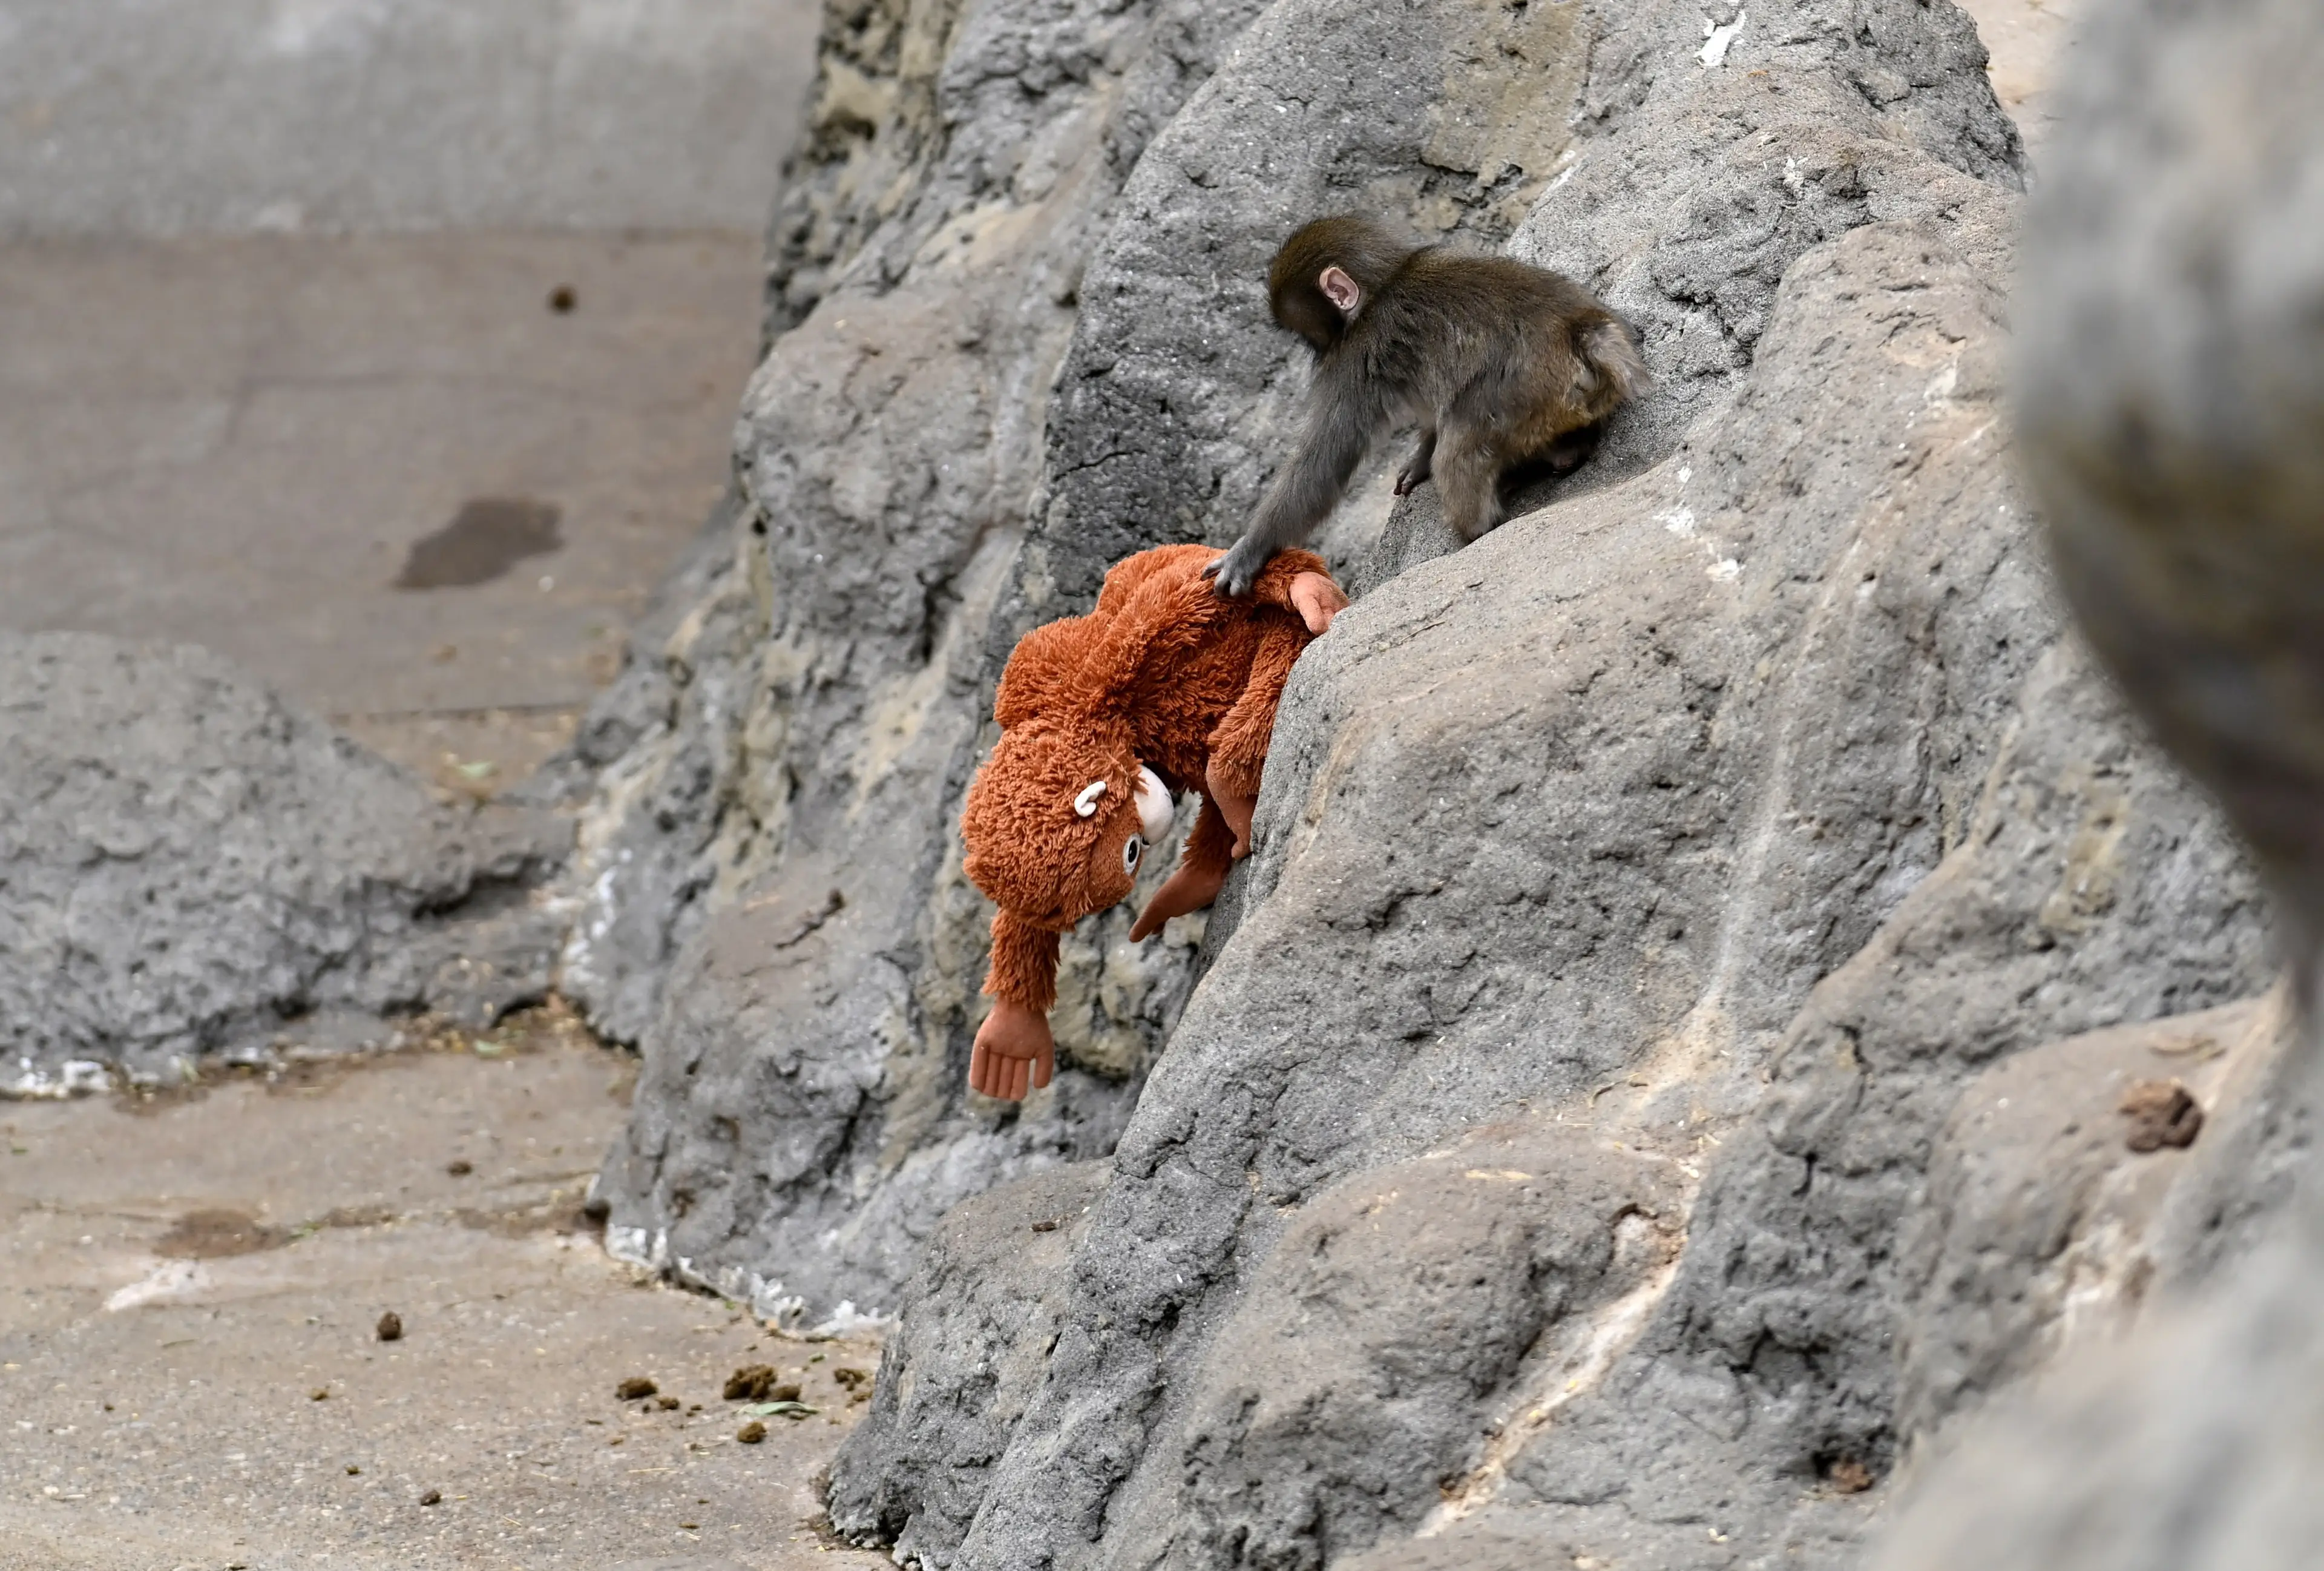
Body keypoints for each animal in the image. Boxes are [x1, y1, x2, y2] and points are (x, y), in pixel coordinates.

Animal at [1206, 214, 1650, 599]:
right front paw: (1418, 459)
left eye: (1308, 336)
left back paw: (1476, 528)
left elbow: (1324, 460)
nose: (1314, 355)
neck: (1384, 284)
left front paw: (1250, 550)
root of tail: (1582, 331)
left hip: (1517, 395)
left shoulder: (1352, 359)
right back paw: (1567, 450)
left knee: (1458, 451)